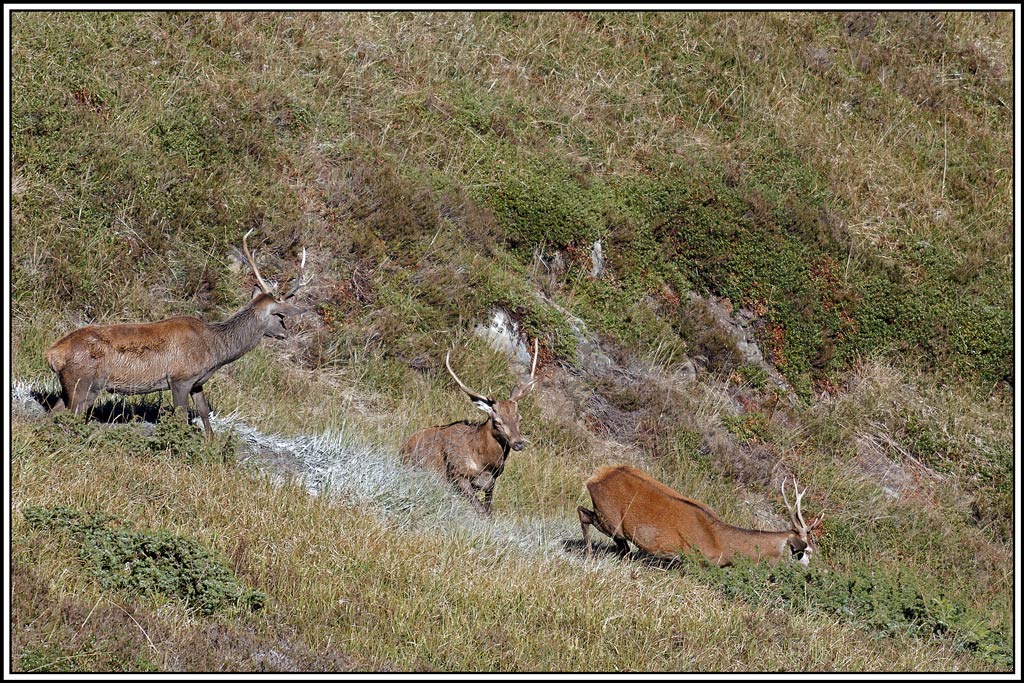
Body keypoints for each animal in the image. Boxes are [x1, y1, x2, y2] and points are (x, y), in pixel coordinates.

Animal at [44, 229, 311, 440]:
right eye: (280, 316)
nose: (285, 334)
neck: (216, 349)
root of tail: (52, 354)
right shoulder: (180, 378)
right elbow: (181, 417)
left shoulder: (197, 381)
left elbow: (203, 412)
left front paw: (211, 444)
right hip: (84, 383)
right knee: (68, 415)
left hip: (73, 386)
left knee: (53, 411)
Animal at [400, 339, 539, 516]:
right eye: (497, 421)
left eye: (519, 418)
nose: (519, 443)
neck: (485, 463)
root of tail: (402, 446)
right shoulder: (457, 474)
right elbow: (481, 511)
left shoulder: (492, 482)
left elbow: (488, 511)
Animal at [578, 464, 824, 567]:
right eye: (805, 552)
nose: (810, 570)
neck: (723, 546)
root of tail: (596, 477)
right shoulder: (692, 560)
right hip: (609, 518)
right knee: (583, 513)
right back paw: (589, 555)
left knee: (621, 545)